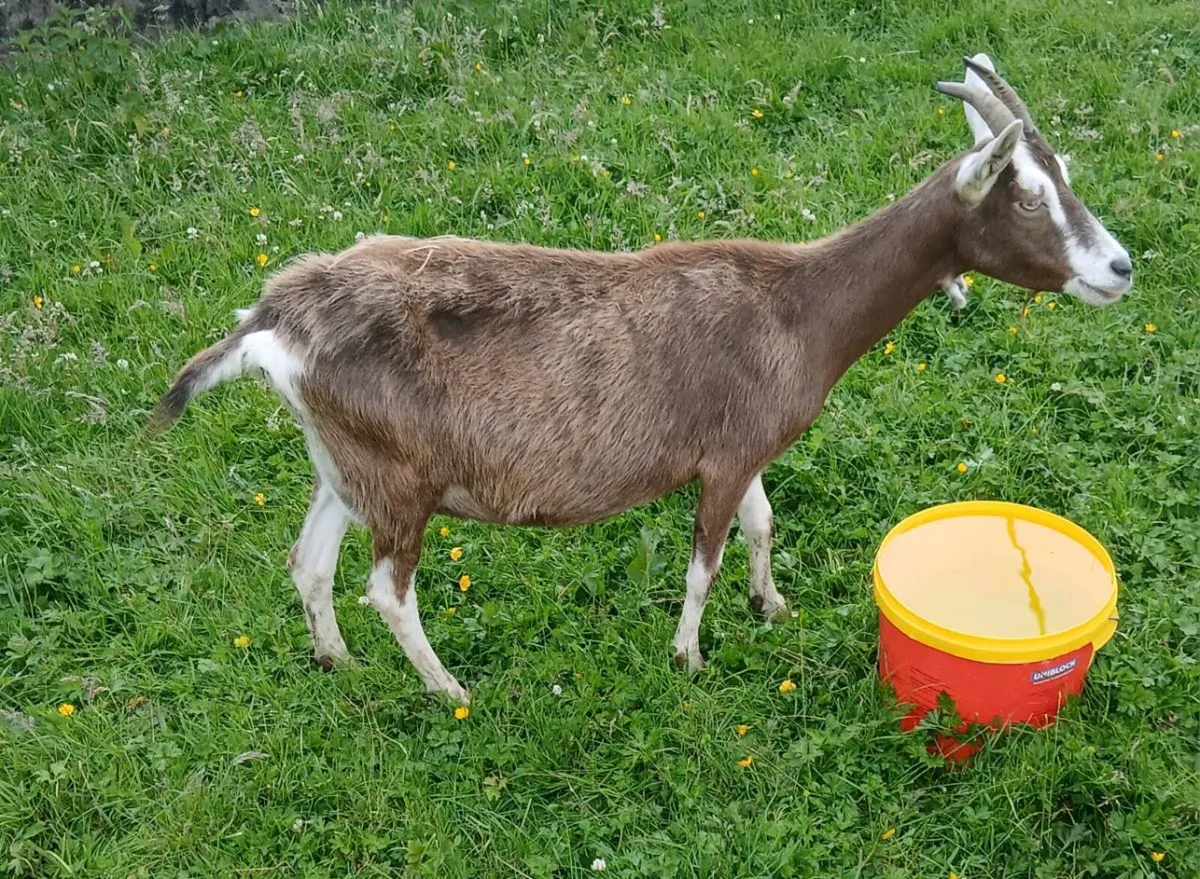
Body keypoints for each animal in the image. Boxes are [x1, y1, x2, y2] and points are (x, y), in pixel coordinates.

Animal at [149, 55, 1132, 705]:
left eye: (1065, 177)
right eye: (1027, 196)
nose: (1119, 267)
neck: (795, 307)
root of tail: (274, 317)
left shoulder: (748, 447)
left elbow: (762, 525)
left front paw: (772, 606)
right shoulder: (724, 455)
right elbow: (704, 560)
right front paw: (690, 658)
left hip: (346, 464)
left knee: (309, 561)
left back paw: (337, 662)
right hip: (404, 482)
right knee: (387, 588)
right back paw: (450, 689)